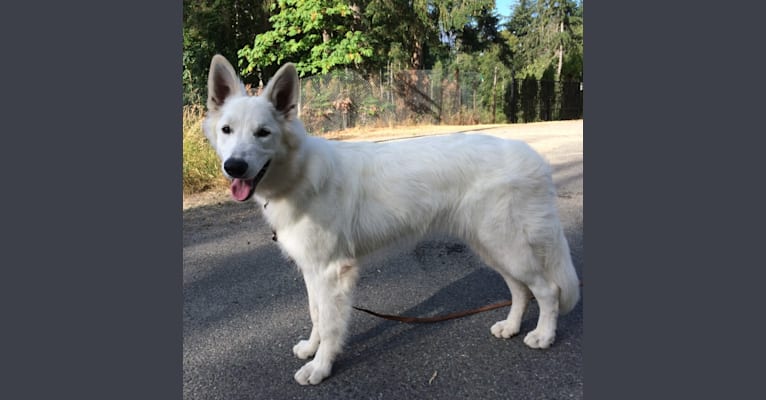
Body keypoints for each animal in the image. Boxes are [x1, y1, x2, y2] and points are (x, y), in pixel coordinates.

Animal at [204, 55, 584, 384]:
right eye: (227, 130)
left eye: (263, 133)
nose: (234, 166)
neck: (297, 175)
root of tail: (534, 158)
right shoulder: (313, 270)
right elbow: (316, 314)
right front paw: (312, 349)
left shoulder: (332, 272)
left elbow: (330, 325)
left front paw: (321, 367)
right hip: (492, 248)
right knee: (521, 290)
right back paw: (511, 327)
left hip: (506, 247)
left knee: (547, 290)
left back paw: (543, 336)